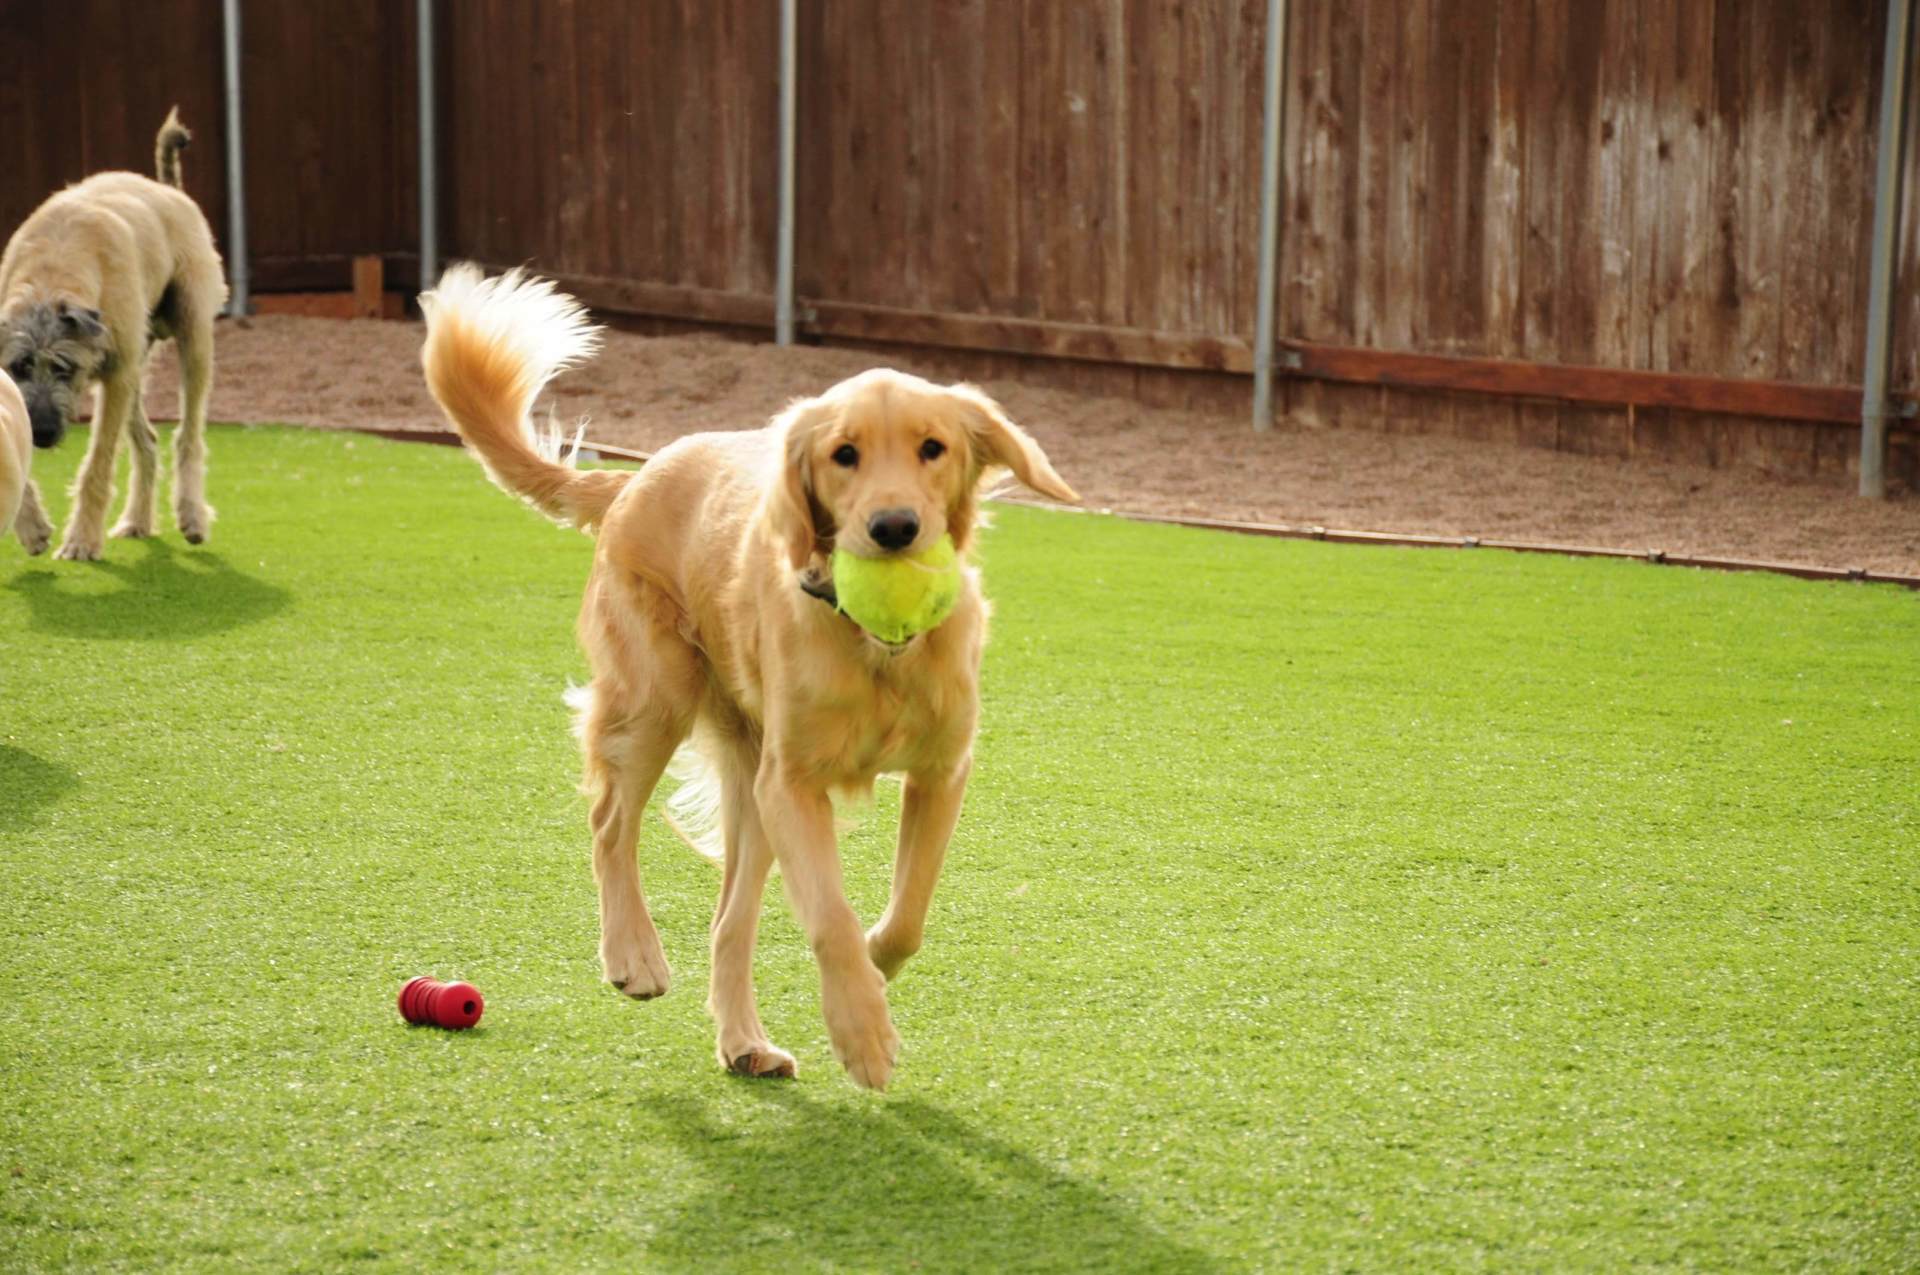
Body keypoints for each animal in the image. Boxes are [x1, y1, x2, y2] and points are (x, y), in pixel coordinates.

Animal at [0, 111, 228, 560]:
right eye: (20, 366)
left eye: (65, 368)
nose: (44, 434)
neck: (50, 276)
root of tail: (167, 189)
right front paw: (31, 526)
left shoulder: (117, 375)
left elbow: (98, 464)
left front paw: (82, 539)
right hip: (137, 364)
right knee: (149, 441)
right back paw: (137, 519)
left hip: (191, 334)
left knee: (188, 435)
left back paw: (191, 514)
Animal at [420, 266, 1075, 1082]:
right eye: (844, 454)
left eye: (934, 447)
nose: (894, 528)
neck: (874, 647)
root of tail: (634, 477)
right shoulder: (791, 784)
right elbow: (829, 915)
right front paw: (861, 1030)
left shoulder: (939, 771)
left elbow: (909, 913)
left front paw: (875, 969)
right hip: (659, 698)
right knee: (610, 823)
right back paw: (633, 954)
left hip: (747, 786)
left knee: (727, 920)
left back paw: (744, 1042)